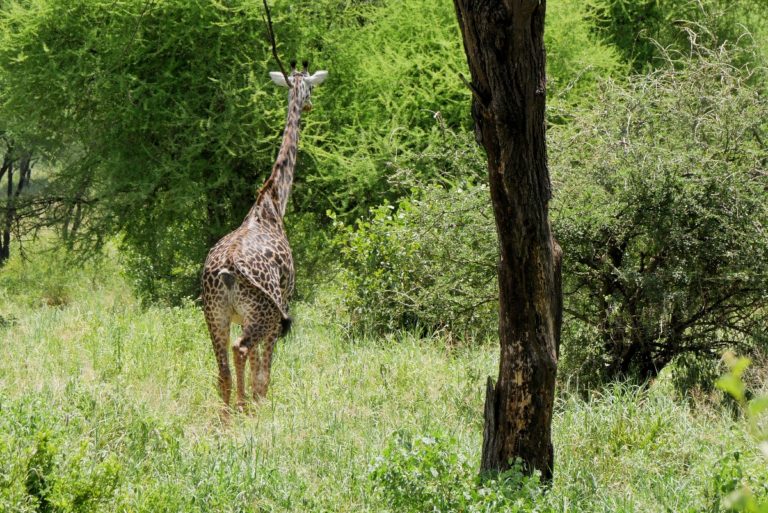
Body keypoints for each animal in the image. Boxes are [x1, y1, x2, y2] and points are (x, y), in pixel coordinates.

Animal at [201, 61, 328, 412]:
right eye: (310, 88)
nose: (309, 105)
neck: (272, 202)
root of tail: (229, 269)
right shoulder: (284, 300)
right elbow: (264, 374)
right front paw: (259, 410)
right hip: (264, 313)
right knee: (243, 351)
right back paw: (245, 408)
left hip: (215, 315)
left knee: (223, 370)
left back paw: (229, 414)